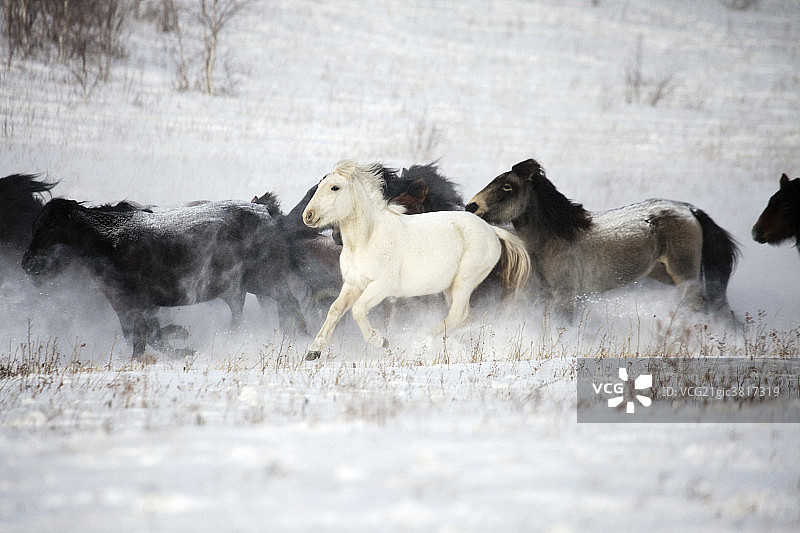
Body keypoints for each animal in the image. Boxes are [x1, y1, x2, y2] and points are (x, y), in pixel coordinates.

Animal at [22, 198, 308, 359]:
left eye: (51, 226)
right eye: (35, 225)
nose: (27, 264)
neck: (107, 242)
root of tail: (267, 213)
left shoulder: (139, 304)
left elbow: (150, 336)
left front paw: (182, 342)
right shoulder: (124, 306)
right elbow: (142, 338)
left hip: (264, 280)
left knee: (290, 304)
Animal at [300, 160, 531, 360]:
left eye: (335, 187)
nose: (308, 215)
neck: (367, 239)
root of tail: (492, 231)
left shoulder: (382, 286)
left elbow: (358, 310)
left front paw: (381, 341)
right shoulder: (353, 284)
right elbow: (335, 310)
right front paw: (313, 351)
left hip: (465, 281)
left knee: (456, 315)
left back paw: (423, 339)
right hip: (450, 288)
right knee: (464, 317)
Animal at [466, 159, 739, 321]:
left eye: (507, 187)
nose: (471, 206)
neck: (555, 237)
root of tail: (690, 210)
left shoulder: (565, 295)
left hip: (684, 274)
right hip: (664, 274)